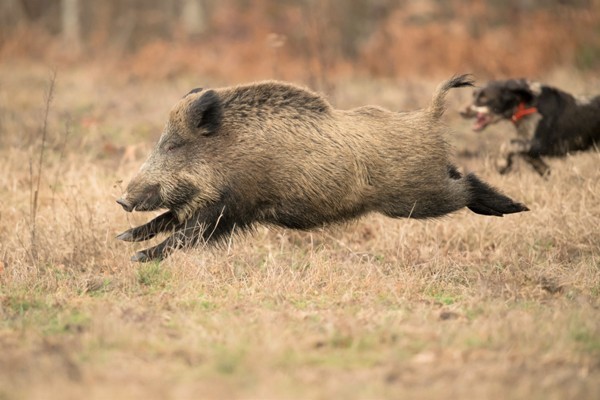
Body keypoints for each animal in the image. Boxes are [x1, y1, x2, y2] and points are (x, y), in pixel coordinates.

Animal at [462, 79, 596, 176]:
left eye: (484, 98)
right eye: (473, 95)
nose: (462, 111)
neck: (527, 103)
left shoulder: (541, 143)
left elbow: (508, 144)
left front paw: (502, 164)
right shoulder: (527, 142)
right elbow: (528, 156)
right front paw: (547, 172)